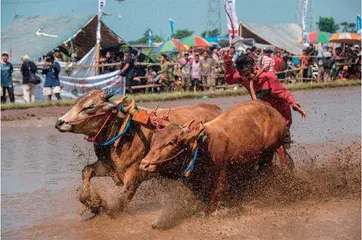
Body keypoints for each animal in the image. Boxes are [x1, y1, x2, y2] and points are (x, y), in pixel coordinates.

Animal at [55, 90, 222, 214]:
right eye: (75, 103)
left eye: (90, 107)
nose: (59, 122)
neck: (123, 131)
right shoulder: (108, 167)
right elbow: (86, 171)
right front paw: (94, 203)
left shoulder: (135, 175)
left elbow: (120, 202)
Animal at [140, 100, 288, 213]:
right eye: (153, 141)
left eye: (171, 142)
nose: (144, 164)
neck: (202, 148)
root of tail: (272, 110)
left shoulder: (220, 185)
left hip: (268, 154)